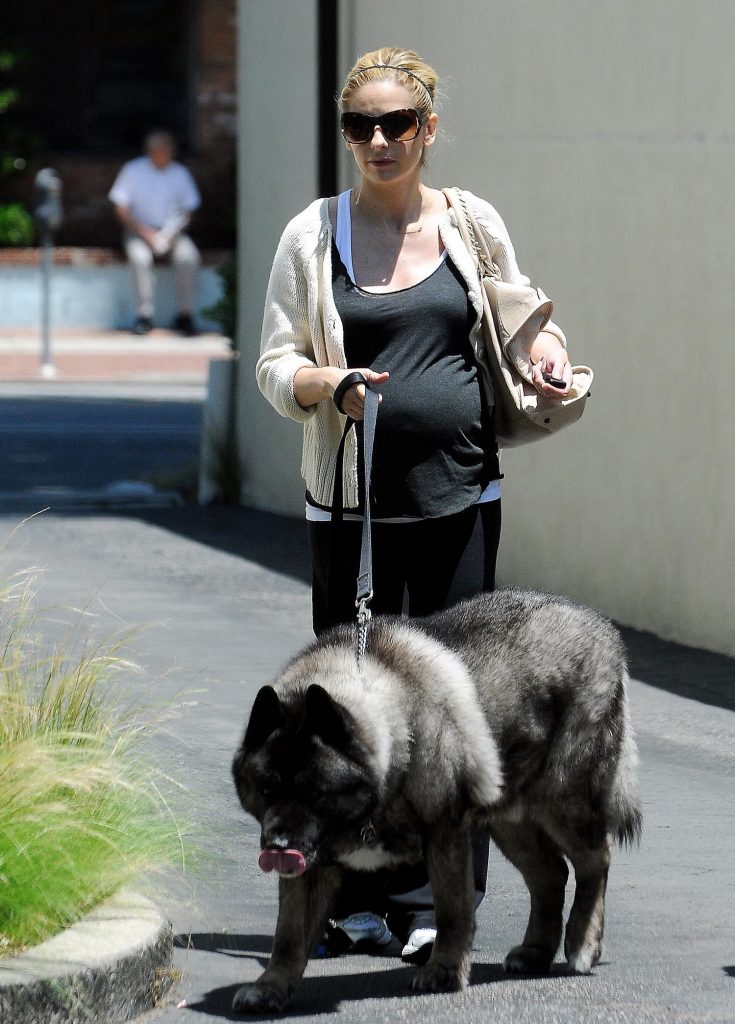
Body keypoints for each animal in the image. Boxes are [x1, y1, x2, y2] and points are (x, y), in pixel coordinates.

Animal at [233, 589, 642, 1011]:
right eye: (267, 790)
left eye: (315, 792)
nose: (278, 846)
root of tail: (604, 627)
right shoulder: (310, 869)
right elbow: (289, 935)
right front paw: (271, 987)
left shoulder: (446, 837)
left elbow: (451, 912)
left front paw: (444, 971)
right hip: (510, 821)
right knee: (551, 875)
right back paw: (535, 952)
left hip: (562, 802)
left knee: (595, 860)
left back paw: (583, 943)